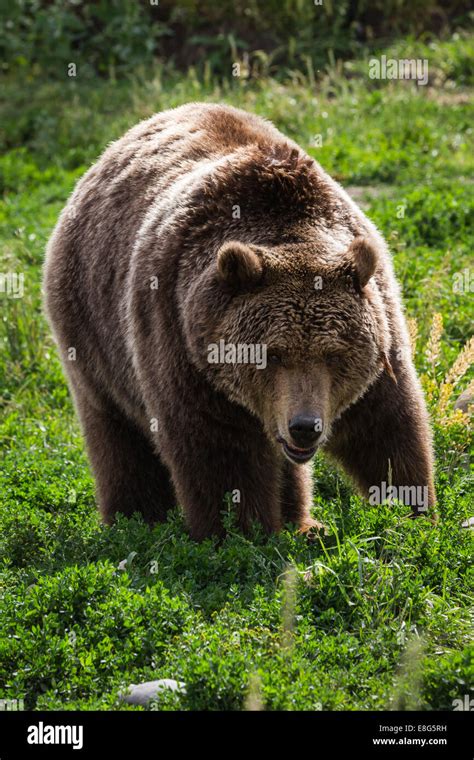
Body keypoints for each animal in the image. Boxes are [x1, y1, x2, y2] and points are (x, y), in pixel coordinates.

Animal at [43, 102, 434, 540]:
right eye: (270, 355)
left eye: (335, 354)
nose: (305, 426)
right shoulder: (184, 346)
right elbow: (220, 455)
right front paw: (242, 533)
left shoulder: (380, 336)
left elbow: (389, 428)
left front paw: (414, 513)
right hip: (92, 329)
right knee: (117, 435)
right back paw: (135, 520)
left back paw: (303, 522)